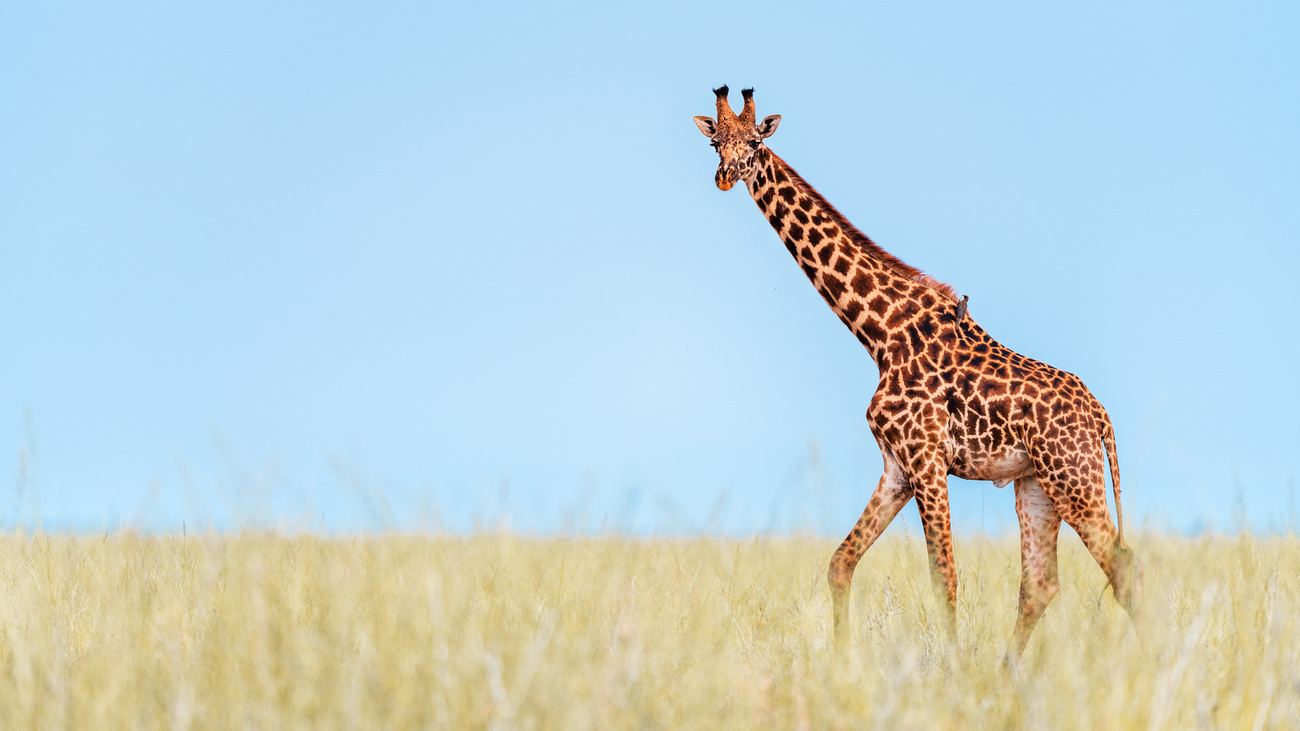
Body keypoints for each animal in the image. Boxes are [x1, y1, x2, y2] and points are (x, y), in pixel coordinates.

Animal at [691, 86, 1138, 660]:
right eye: (715, 142)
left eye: (754, 141)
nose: (726, 175)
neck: (880, 333)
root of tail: (1101, 416)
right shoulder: (897, 467)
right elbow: (840, 563)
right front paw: (843, 661)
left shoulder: (926, 459)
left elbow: (943, 576)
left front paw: (952, 671)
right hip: (1037, 484)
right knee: (1041, 583)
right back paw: (1005, 672)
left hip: (1073, 476)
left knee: (1124, 569)